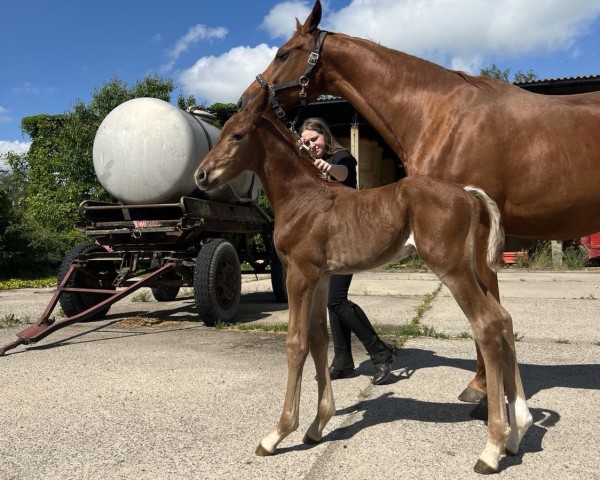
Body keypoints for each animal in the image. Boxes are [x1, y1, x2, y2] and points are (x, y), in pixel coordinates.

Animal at [195, 93, 532, 472]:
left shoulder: (299, 274)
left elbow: (296, 343)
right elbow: (319, 338)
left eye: (237, 135)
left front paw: (277, 434)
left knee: (487, 324)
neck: (301, 196)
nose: (201, 174)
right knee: (504, 319)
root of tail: (468, 193)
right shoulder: (321, 278)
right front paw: (317, 426)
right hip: (472, 269)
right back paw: (518, 432)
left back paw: (492, 449)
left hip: (453, 270)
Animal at [239, 0, 600, 404]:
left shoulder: (476, 238)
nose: (245, 101)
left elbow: (486, 306)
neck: (442, 117)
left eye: (284, 53)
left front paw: (482, 388)